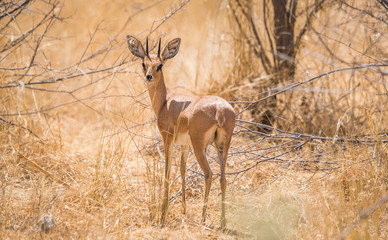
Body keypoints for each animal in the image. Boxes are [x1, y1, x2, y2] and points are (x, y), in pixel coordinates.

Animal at [127, 34, 236, 228]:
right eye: (143, 63)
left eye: (160, 65)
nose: (148, 76)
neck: (165, 101)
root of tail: (220, 109)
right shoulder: (185, 145)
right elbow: (183, 170)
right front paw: (184, 210)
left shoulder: (168, 139)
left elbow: (167, 172)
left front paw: (163, 214)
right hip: (222, 145)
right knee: (223, 178)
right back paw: (223, 222)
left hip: (200, 147)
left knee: (209, 174)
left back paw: (203, 218)